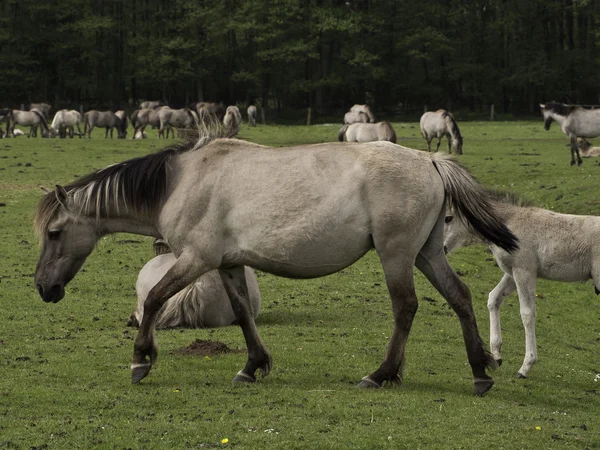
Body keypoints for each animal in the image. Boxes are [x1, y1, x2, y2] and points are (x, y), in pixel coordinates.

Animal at [440, 192, 600, 378]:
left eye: (448, 218)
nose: (441, 248)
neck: (510, 223)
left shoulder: (524, 271)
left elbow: (527, 313)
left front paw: (525, 367)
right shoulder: (512, 273)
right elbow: (494, 298)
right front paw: (496, 355)